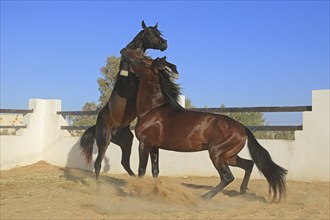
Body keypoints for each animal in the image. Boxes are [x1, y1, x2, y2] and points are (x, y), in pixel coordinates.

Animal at [80, 20, 178, 180]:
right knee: (98, 164)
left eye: (159, 33)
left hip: (127, 142)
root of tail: (97, 125)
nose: (165, 44)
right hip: (104, 141)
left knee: (124, 162)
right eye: (151, 34)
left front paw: (172, 68)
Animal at [120, 48, 286, 203]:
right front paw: (155, 192)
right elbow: (155, 170)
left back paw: (204, 198)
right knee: (249, 164)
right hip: (229, 156)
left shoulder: (144, 144)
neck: (153, 109)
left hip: (217, 154)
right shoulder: (154, 146)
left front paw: (139, 192)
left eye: (143, 60)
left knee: (227, 176)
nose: (125, 50)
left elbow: (141, 170)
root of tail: (242, 128)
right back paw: (242, 191)